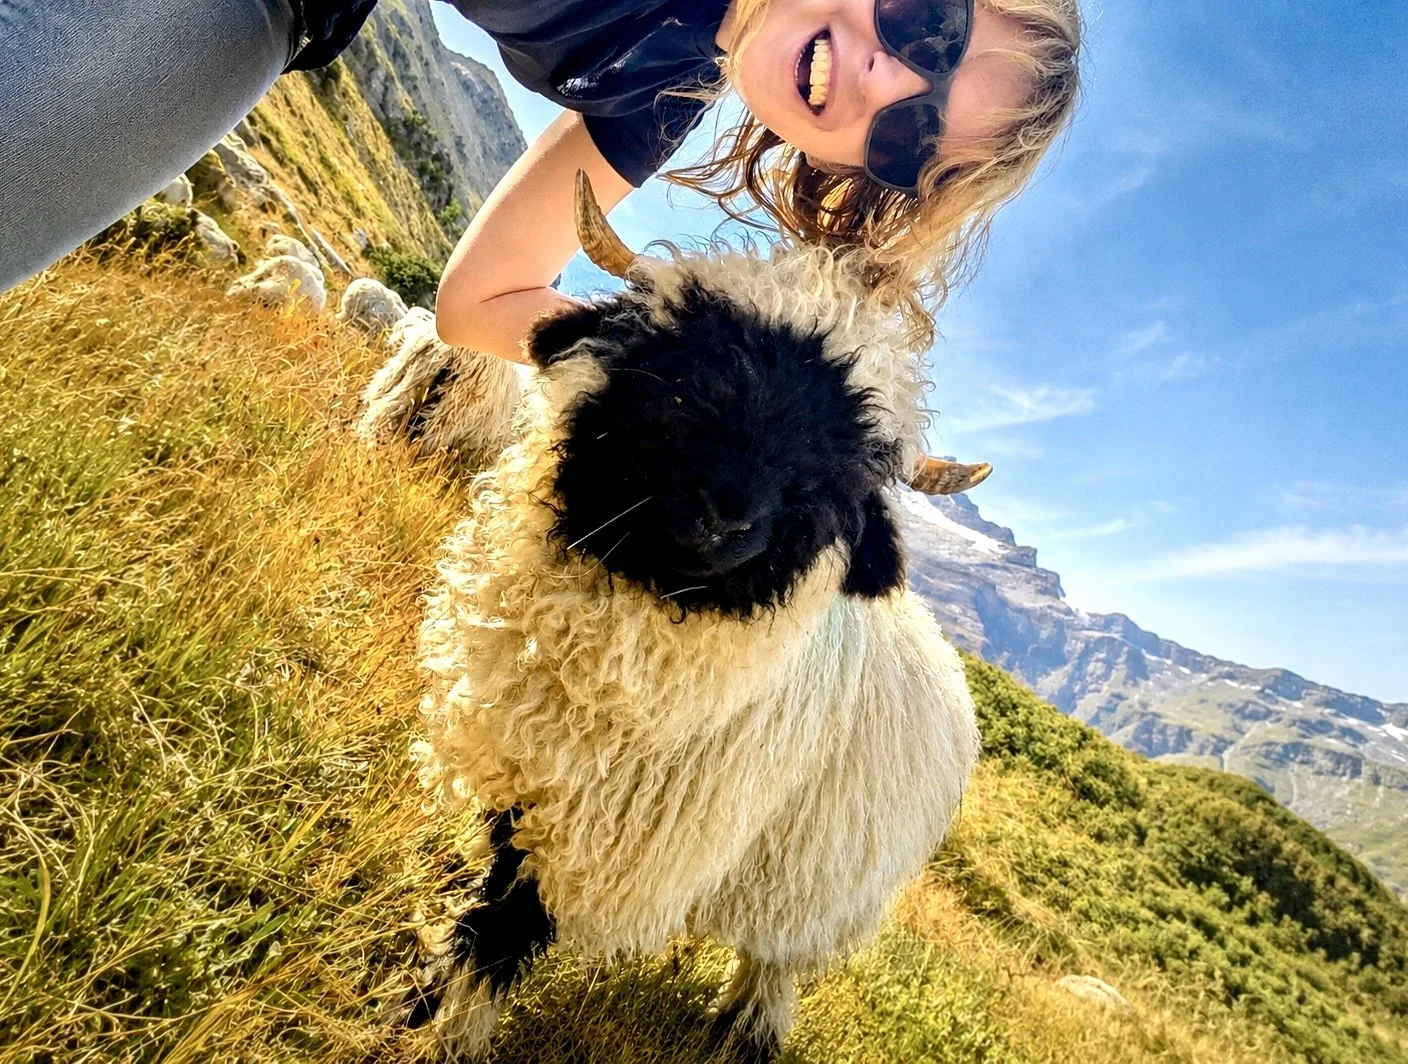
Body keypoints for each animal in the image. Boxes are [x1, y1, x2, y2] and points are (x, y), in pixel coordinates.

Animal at [403, 173, 982, 1061]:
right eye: (682, 365)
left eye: (843, 471)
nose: (725, 516)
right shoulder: (516, 774)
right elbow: (484, 896)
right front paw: (427, 994)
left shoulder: (603, 846)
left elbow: (502, 930)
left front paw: (449, 1031)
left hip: (819, 890)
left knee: (775, 967)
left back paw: (745, 1034)